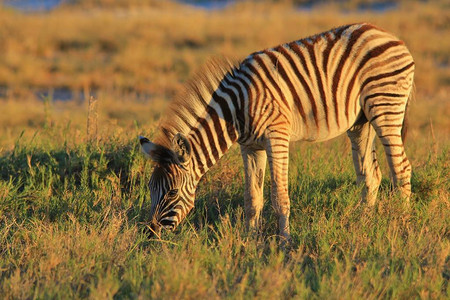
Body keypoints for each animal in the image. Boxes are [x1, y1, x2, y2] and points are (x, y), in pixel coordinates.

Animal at [140, 22, 414, 239]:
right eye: (151, 188)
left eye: (172, 192)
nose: (150, 233)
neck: (236, 110)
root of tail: (388, 35)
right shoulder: (250, 147)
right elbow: (252, 197)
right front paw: (249, 239)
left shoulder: (277, 138)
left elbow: (279, 196)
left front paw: (285, 242)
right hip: (361, 121)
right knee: (370, 175)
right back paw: (362, 223)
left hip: (385, 105)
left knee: (401, 168)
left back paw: (402, 223)